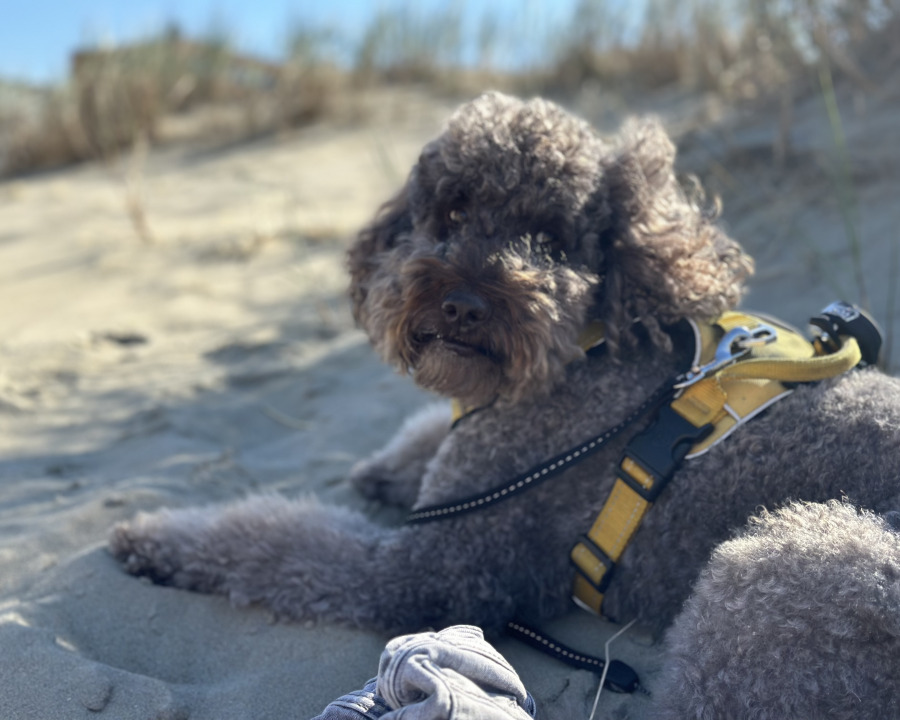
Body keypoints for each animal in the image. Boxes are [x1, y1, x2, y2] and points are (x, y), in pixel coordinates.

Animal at [110, 92, 900, 714]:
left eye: (550, 240)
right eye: (453, 208)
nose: (463, 305)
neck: (582, 352)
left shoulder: (430, 570)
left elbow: (271, 541)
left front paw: (157, 537)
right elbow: (429, 433)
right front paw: (386, 468)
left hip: (783, 569)